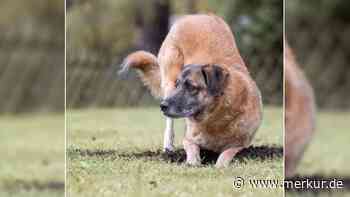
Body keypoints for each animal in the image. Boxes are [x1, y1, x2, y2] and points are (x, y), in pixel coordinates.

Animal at [119, 14, 262, 168]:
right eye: (178, 85)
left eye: (191, 87)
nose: (162, 106)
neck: (215, 118)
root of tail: (194, 16)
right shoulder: (188, 139)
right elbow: (192, 150)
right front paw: (193, 163)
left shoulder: (239, 144)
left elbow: (226, 154)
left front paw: (219, 165)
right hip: (169, 80)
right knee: (169, 122)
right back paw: (168, 146)